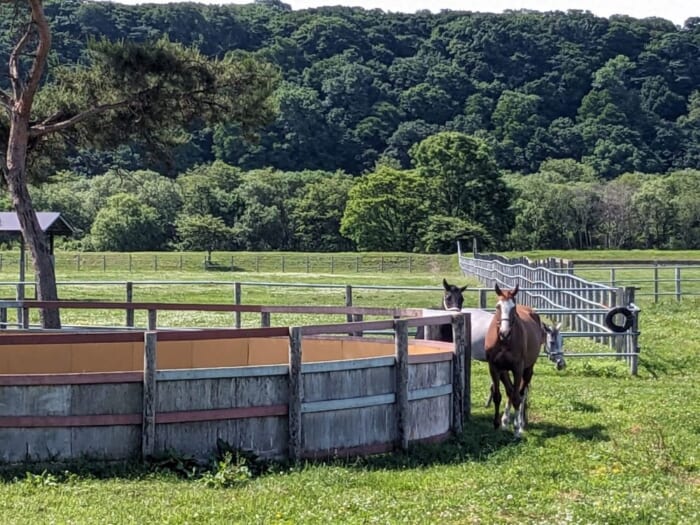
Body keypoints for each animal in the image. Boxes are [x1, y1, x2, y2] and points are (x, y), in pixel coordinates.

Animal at [484, 282, 544, 438]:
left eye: (513, 308)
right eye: (498, 306)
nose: (504, 333)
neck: (504, 342)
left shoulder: (517, 368)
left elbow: (517, 397)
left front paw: (517, 430)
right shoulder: (494, 368)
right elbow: (497, 395)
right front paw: (497, 424)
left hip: (527, 369)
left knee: (521, 394)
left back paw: (520, 423)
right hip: (504, 371)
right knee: (510, 391)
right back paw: (505, 421)